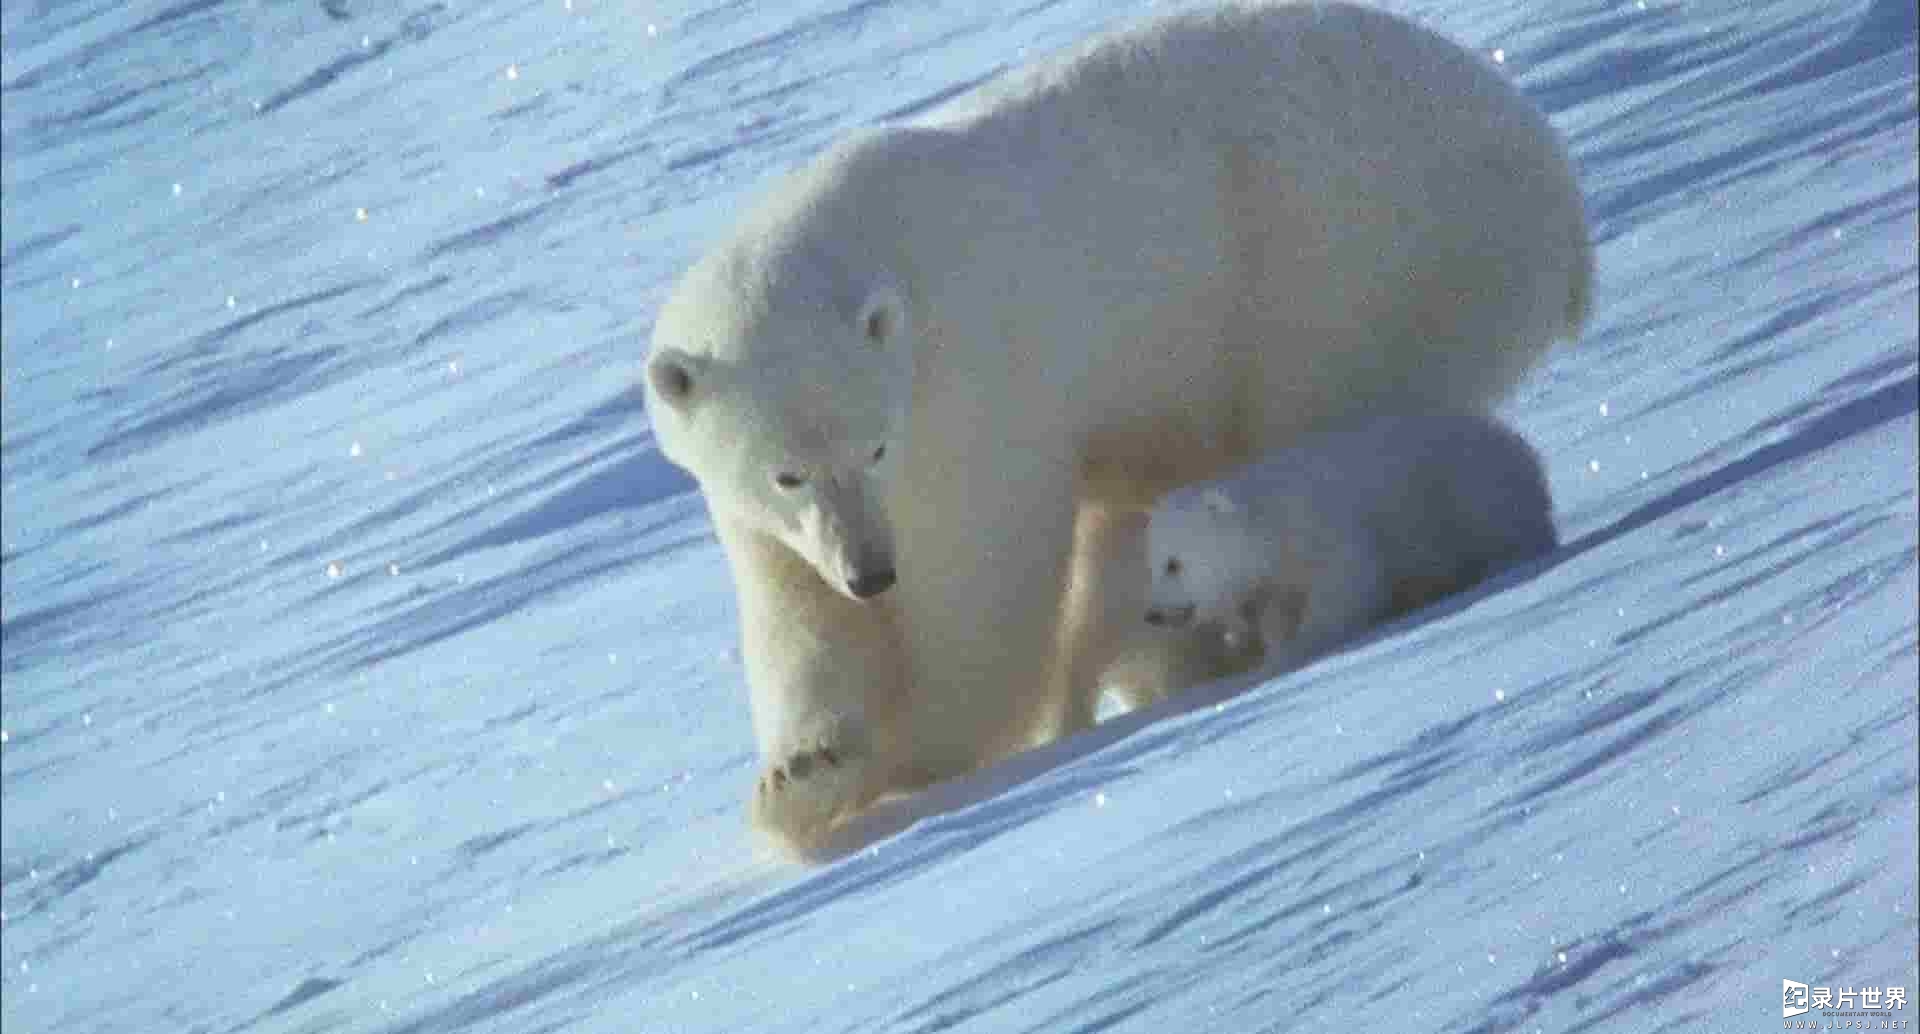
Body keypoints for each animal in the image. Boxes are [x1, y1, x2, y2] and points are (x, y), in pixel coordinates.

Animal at [1136, 412, 1559, 679]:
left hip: (1468, 490)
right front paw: (1274, 651)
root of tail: (1523, 449)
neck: (1275, 524)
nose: (1152, 615)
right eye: (1152, 564)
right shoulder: (1276, 579)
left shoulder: (1334, 531)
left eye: (1173, 563)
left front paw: (1298, 650)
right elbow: (1276, 613)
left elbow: (1346, 586)